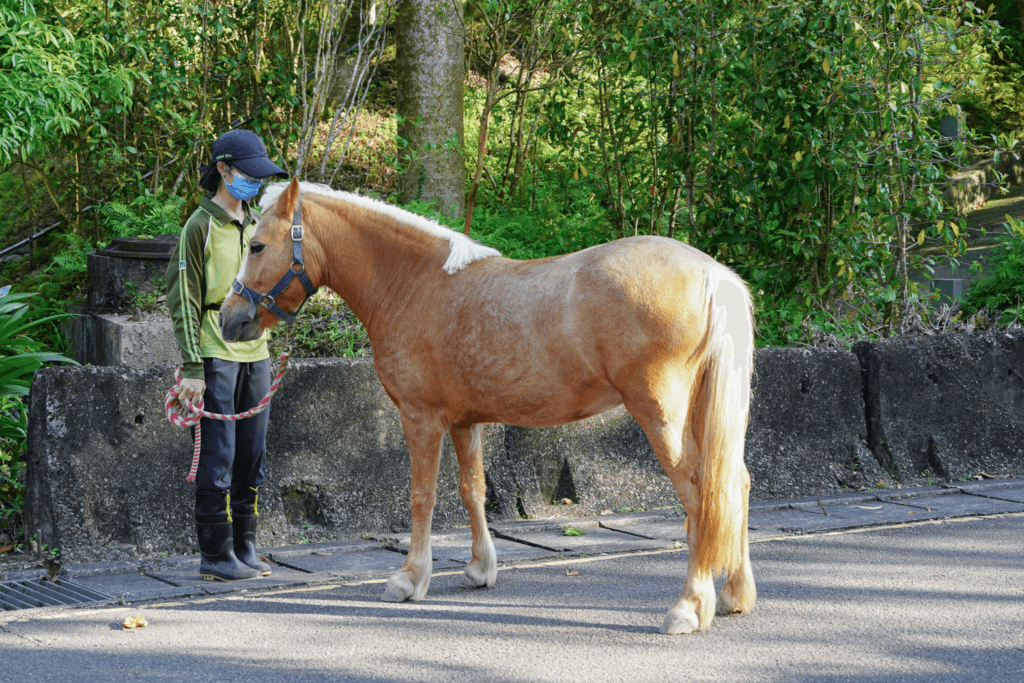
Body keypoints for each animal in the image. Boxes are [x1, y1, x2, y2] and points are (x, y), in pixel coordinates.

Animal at [219, 177, 756, 634]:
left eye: (257, 246)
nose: (228, 318)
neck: (413, 284)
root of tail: (711, 274)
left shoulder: (420, 418)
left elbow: (422, 496)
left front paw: (409, 578)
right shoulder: (464, 421)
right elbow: (471, 490)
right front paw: (480, 568)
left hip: (660, 413)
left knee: (700, 493)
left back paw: (689, 606)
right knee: (734, 483)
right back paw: (735, 593)